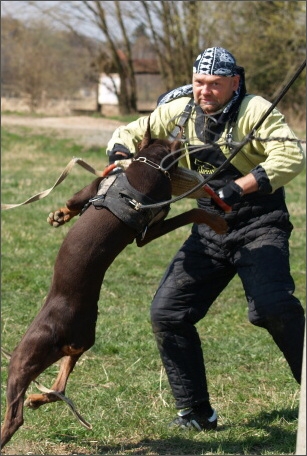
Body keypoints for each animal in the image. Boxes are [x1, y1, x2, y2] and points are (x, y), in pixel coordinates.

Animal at [0, 126, 229, 448]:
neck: (149, 164)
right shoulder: (149, 229)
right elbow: (187, 214)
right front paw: (59, 216)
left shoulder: (102, 190)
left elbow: (77, 198)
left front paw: (62, 213)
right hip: (77, 346)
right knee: (59, 386)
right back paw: (37, 398)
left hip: (27, 354)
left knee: (16, 414)